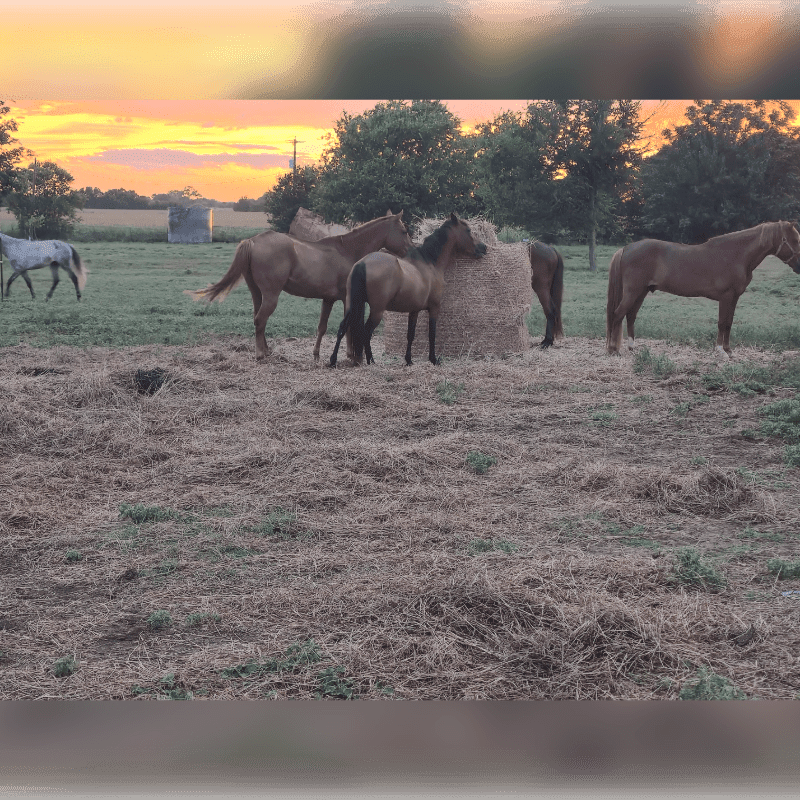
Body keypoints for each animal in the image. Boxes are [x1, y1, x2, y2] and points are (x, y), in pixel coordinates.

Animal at [185, 211, 412, 361]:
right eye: (403, 230)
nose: (411, 250)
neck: (347, 250)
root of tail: (253, 241)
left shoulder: (329, 299)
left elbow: (322, 327)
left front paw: (316, 354)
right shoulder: (346, 298)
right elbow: (346, 326)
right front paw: (349, 354)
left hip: (256, 293)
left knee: (258, 320)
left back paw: (267, 350)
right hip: (271, 295)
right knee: (260, 320)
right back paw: (260, 354)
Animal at [329, 213, 487, 368]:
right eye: (469, 230)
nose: (484, 247)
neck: (429, 262)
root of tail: (362, 263)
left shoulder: (414, 310)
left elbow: (410, 334)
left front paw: (409, 360)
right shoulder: (434, 308)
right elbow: (432, 334)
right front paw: (433, 359)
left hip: (352, 305)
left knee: (342, 328)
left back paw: (333, 360)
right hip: (376, 311)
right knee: (366, 333)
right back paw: (371, 361)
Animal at [606, 220, 800, 358]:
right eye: (794, 240)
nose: (799, 266)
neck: (736, 256)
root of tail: (627, 248)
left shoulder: (734, 298)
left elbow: (729, 323)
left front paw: (729, 351)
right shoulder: (726, 297)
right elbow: (722, 323)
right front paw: (721, 351)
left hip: (642, 292)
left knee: (630, 316)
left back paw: (632, 347)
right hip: (633, 292)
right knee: (618, 314)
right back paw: (614, 350)